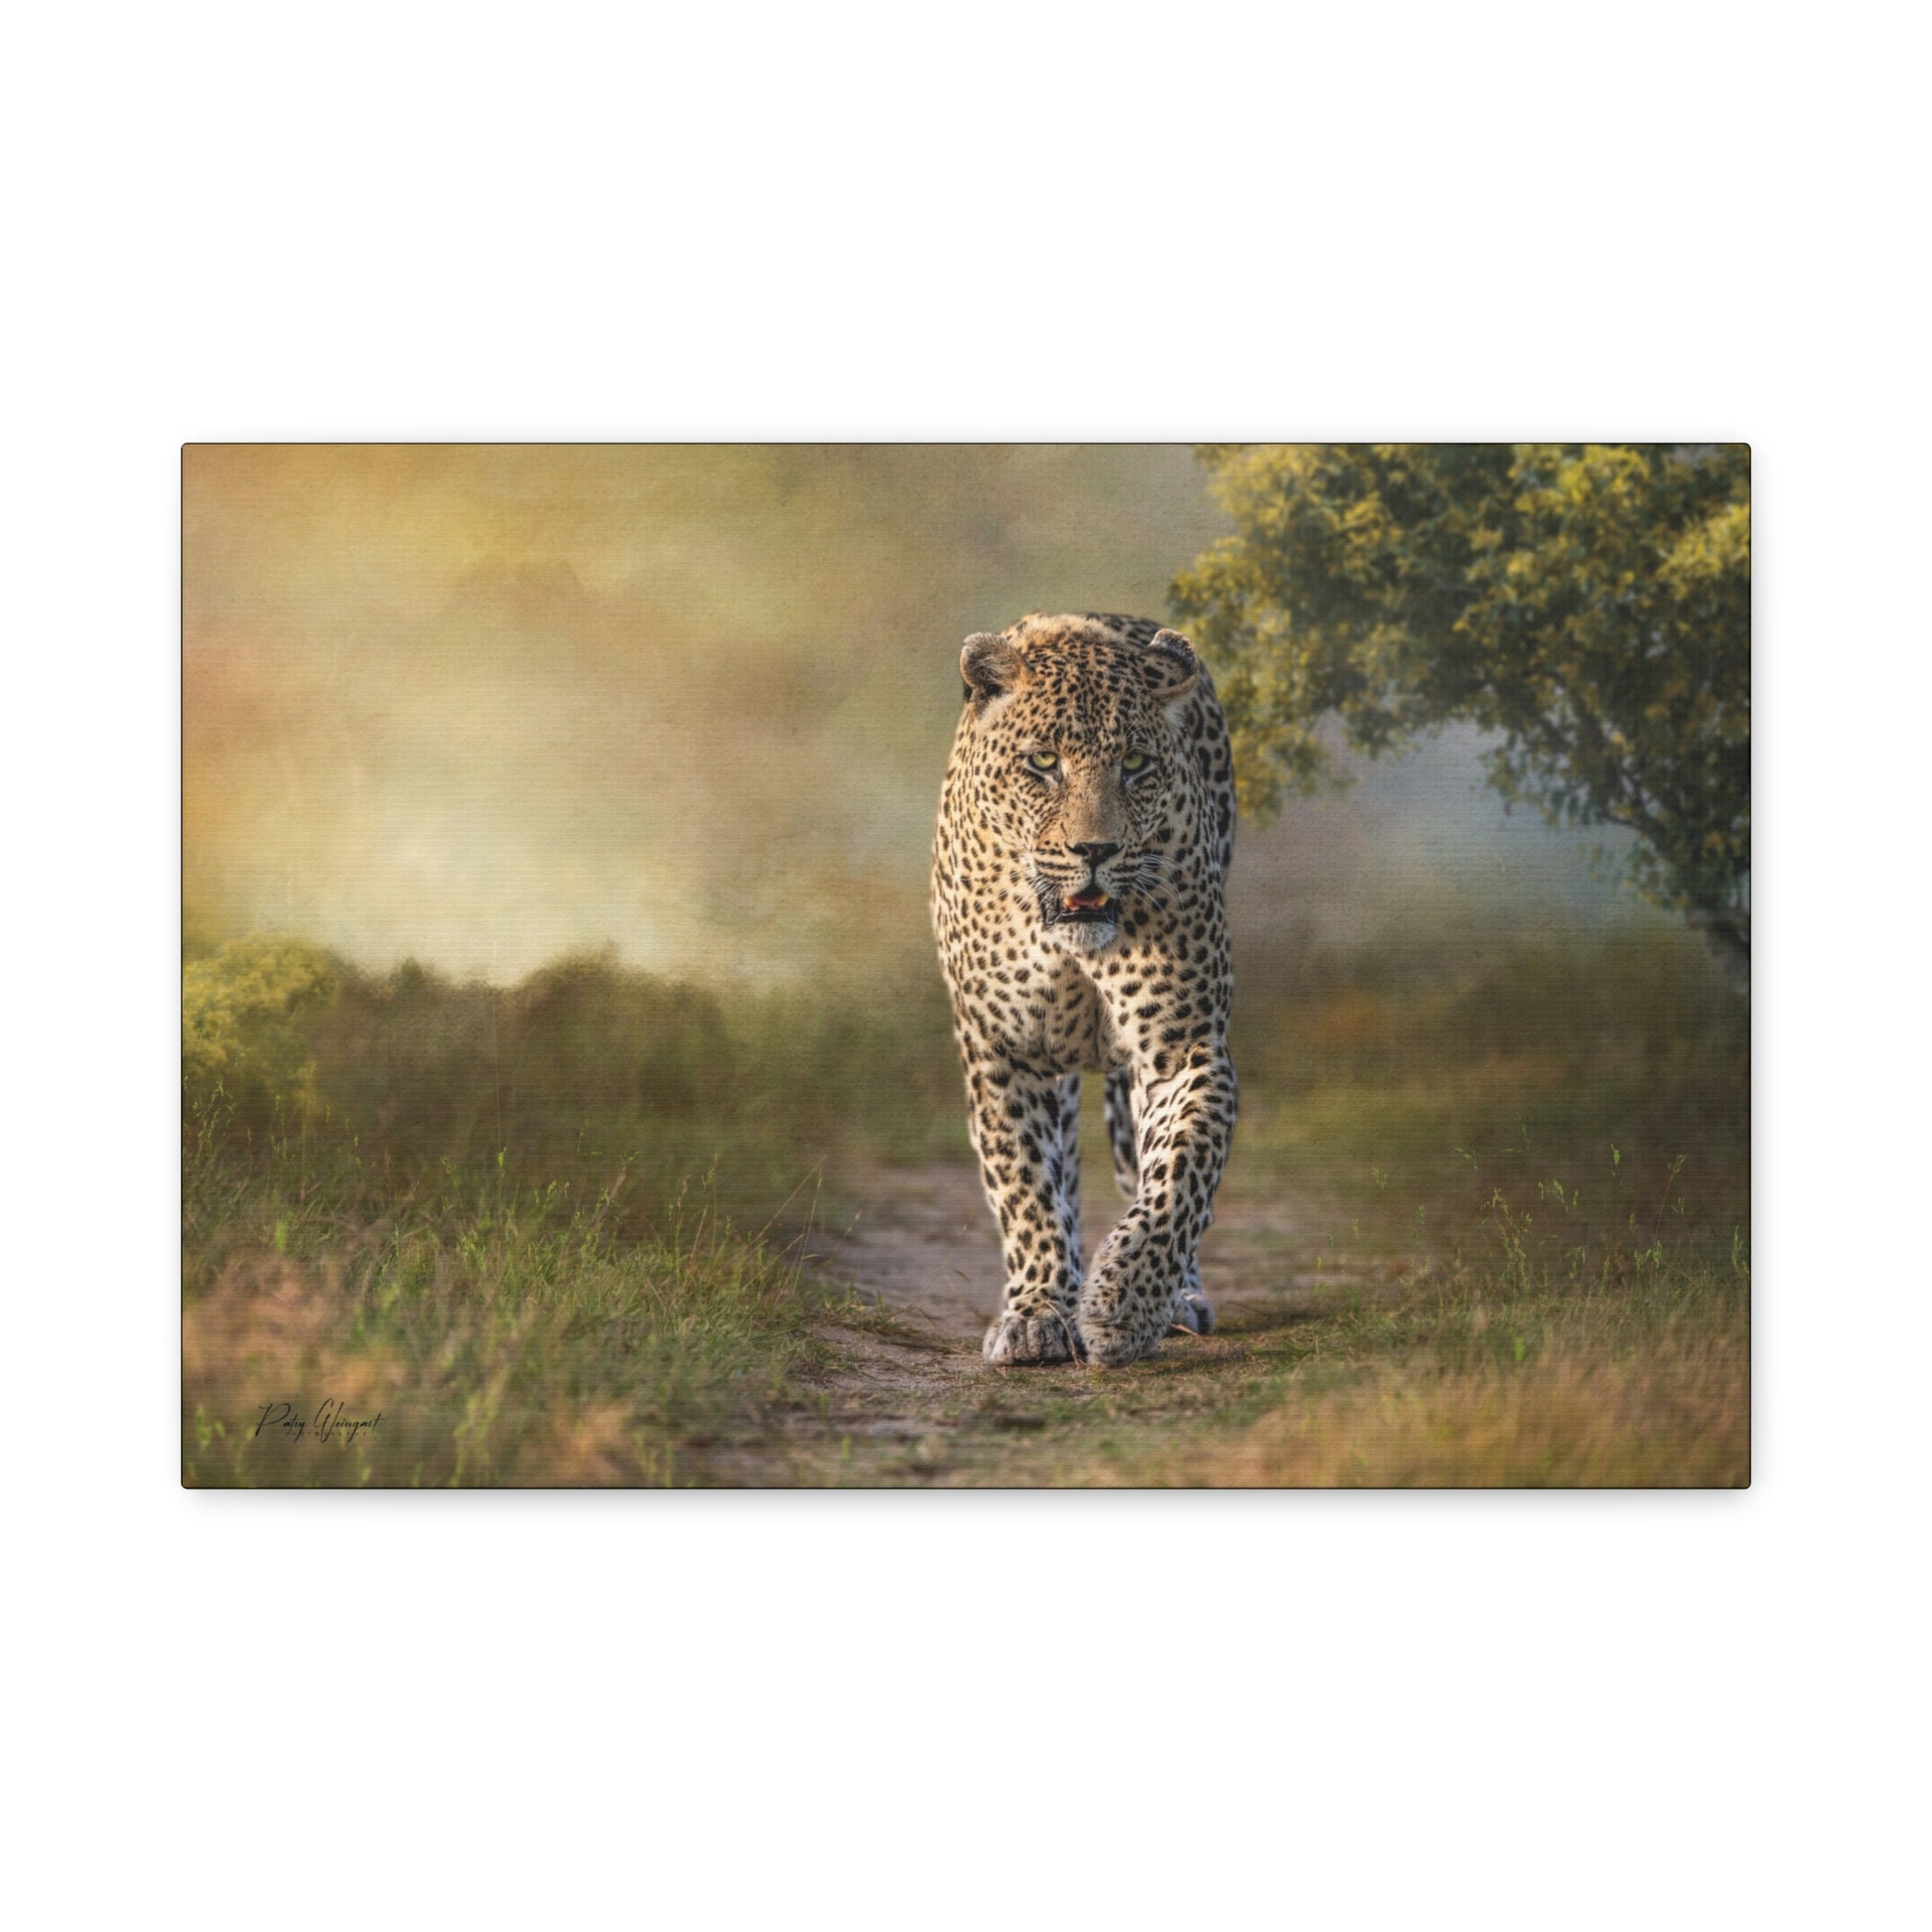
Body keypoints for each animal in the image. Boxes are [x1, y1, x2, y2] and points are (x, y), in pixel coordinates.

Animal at [930, 611, 1238, 1368]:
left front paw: (1123, 1305)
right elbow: (1027, 1186)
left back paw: (1176, 1298)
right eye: (1044, 763)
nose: (1094, 850)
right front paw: (1040, 1311)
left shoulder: (1183, 1047)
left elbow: (1181, 1173)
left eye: (1135, 765)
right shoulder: (1005, 1053)